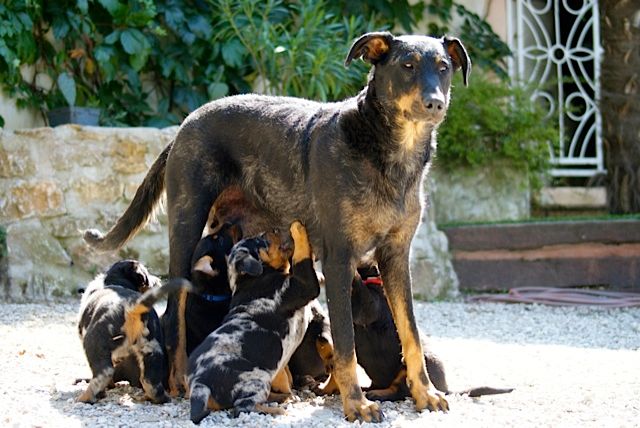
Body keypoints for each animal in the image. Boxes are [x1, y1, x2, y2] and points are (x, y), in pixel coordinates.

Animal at [76, 260, 189, 402]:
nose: (158, 280)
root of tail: (132, 306)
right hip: (152, 348)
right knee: (150, 380)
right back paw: (154, 398)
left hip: (94, 342)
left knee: (104, 372)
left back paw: (85, 398)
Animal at [189, 222, 320, 422]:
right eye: (262, 240)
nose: (274, 229)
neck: (251, 278)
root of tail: (200, 384)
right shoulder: (303, 286)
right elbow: (302, 257)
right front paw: (297, 228)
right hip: (257, 380)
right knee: (242, 408)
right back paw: (279, 410)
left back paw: (283, 397)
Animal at [350, 264, 516, 402]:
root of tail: (445, 389)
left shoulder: (370, 306)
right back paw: (367, 389)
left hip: (418, 362)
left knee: (402, 391)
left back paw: (378, 394)